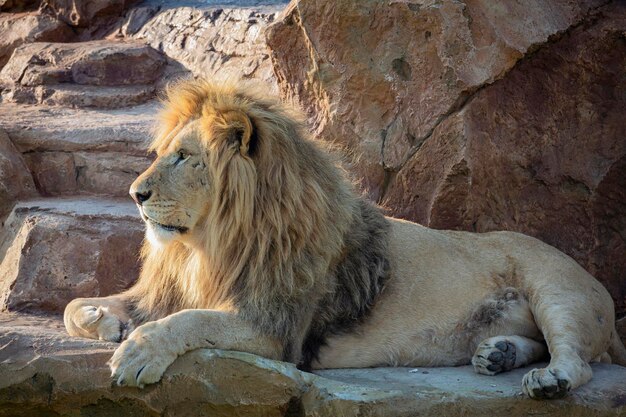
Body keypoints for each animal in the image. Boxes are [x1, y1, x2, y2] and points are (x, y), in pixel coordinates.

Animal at [64, 79, 624, 398]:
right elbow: (75, 307)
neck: (207, 246)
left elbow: (189, 320)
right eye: (165, 153)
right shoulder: (169, 289)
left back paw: (548, 381)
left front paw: (137, 353)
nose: (135, 193)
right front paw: (104, 320)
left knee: (579, 359)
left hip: (557, 289)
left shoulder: (278, 330)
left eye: (184, 157)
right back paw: (500, 354)